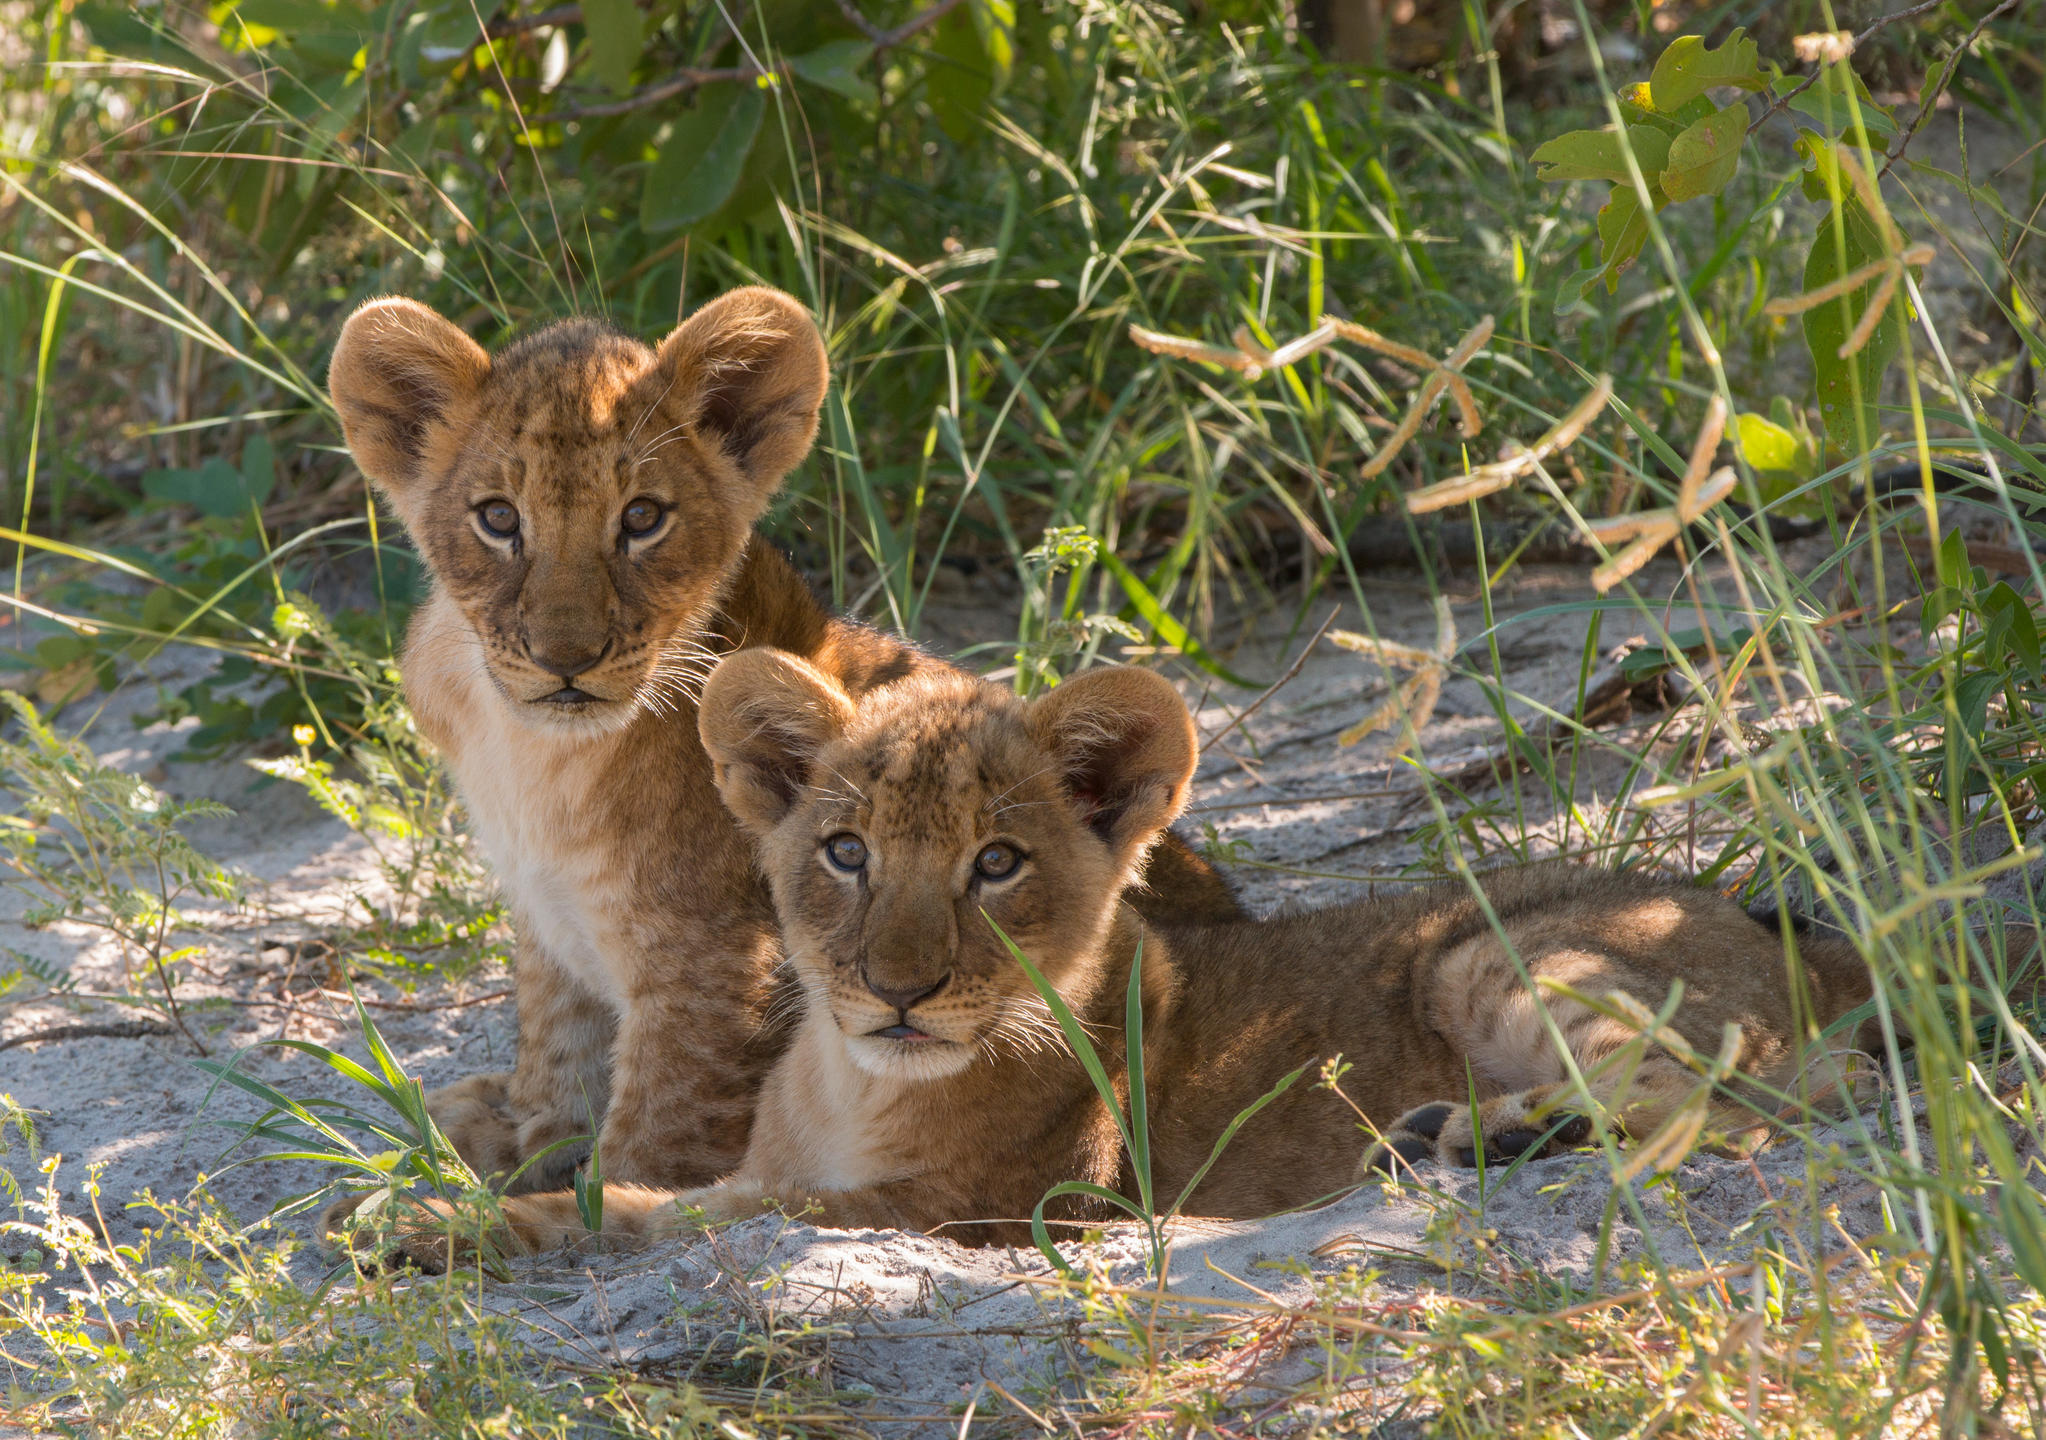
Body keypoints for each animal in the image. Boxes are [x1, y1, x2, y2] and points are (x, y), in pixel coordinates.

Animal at [325, 288, 1239, 1194]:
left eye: (643, 518)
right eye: (498, 519)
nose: (565, 660)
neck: (536, 760)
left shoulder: (723, 971)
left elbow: (649, 1141)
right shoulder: (550, 933)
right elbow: (556, 1063)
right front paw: (499, 1158)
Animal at [357, 652, 1877, 1266]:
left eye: (996, 864)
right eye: (844, 852)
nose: (897, 990)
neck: (853, 1085)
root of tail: (1802, 937)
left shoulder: (986, 1207)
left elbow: (679, 1216)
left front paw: (432, 1225)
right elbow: (691, 1191)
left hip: (1489, 959)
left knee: (1768, 1095)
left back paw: (1501, 1130)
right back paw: (1455, 1132)